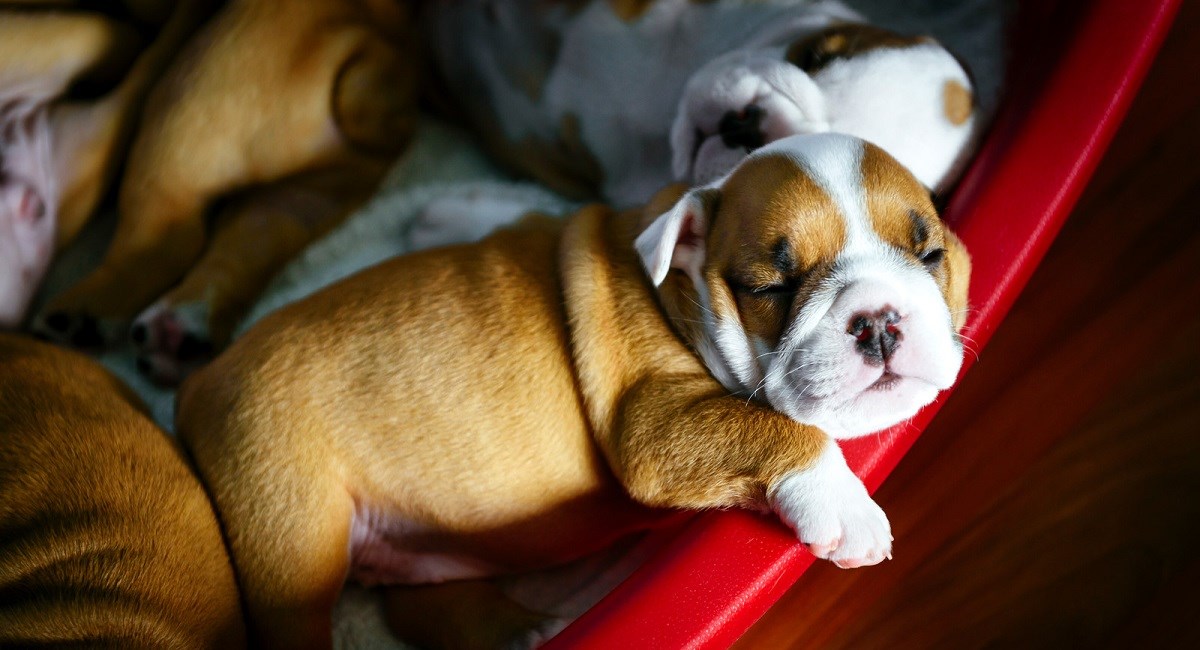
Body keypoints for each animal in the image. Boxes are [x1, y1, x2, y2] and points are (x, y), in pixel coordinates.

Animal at [30, 0, 420, 388]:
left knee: (168, 237)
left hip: (196, 108)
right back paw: (179, 335)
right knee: (249, 243)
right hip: (307, 195)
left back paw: (85, 314)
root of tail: (381, 48)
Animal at [175, 133, 964, 650]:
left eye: (929, 254)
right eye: (771, 287)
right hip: (289, 521)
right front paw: (846, 507)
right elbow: (778, 428)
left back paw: (518, 630)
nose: (878, 321)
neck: (678, 284)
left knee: (417, 605)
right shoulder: (651, 422)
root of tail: (198, 386)